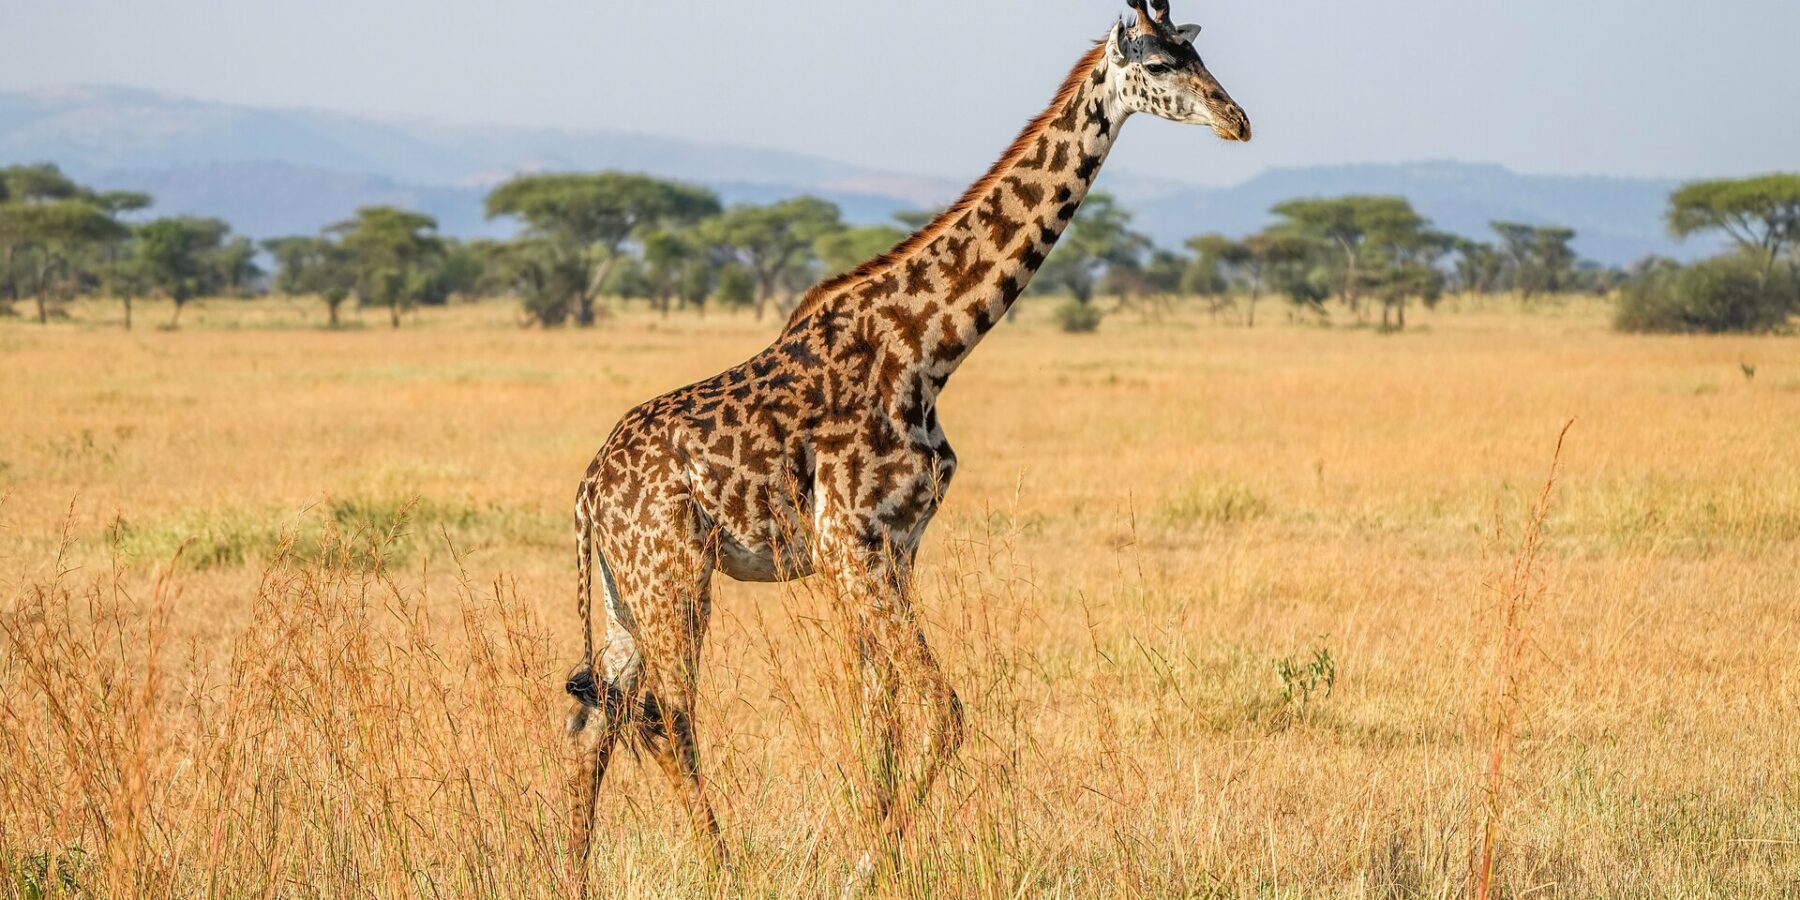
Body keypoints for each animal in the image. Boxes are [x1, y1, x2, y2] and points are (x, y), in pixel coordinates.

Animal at [561, 0, 1250, 889]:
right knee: (667, 718)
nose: (1236, 120)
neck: (929, 348)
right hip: (674, 573)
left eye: (1196, 52)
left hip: (621, 590)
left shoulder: (894, 548)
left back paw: (571, 877)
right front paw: (867, 865)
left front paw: (877, 857)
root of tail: (588, 489)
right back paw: (724, 872)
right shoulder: (851, 545)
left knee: (596, 723)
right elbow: (942, 712)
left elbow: (878, 720)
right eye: (1160, 66)